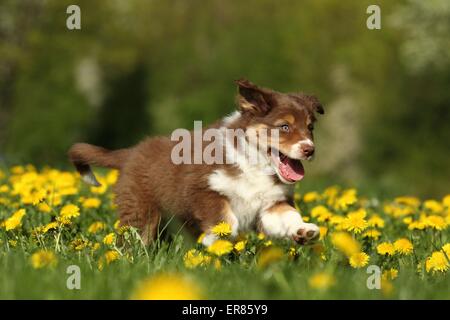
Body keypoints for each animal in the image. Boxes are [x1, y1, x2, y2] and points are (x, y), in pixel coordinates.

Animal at [67, 79, 324, 246]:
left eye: (310, 127)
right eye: (284, 127)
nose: (309, 149)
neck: (254, 165)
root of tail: (131, 152)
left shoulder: (272, 203)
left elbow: (288, 216)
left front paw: (304, 231)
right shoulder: (201, 189)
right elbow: (226, 220)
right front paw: (216, 241)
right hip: (140, 208)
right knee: (134, 237)